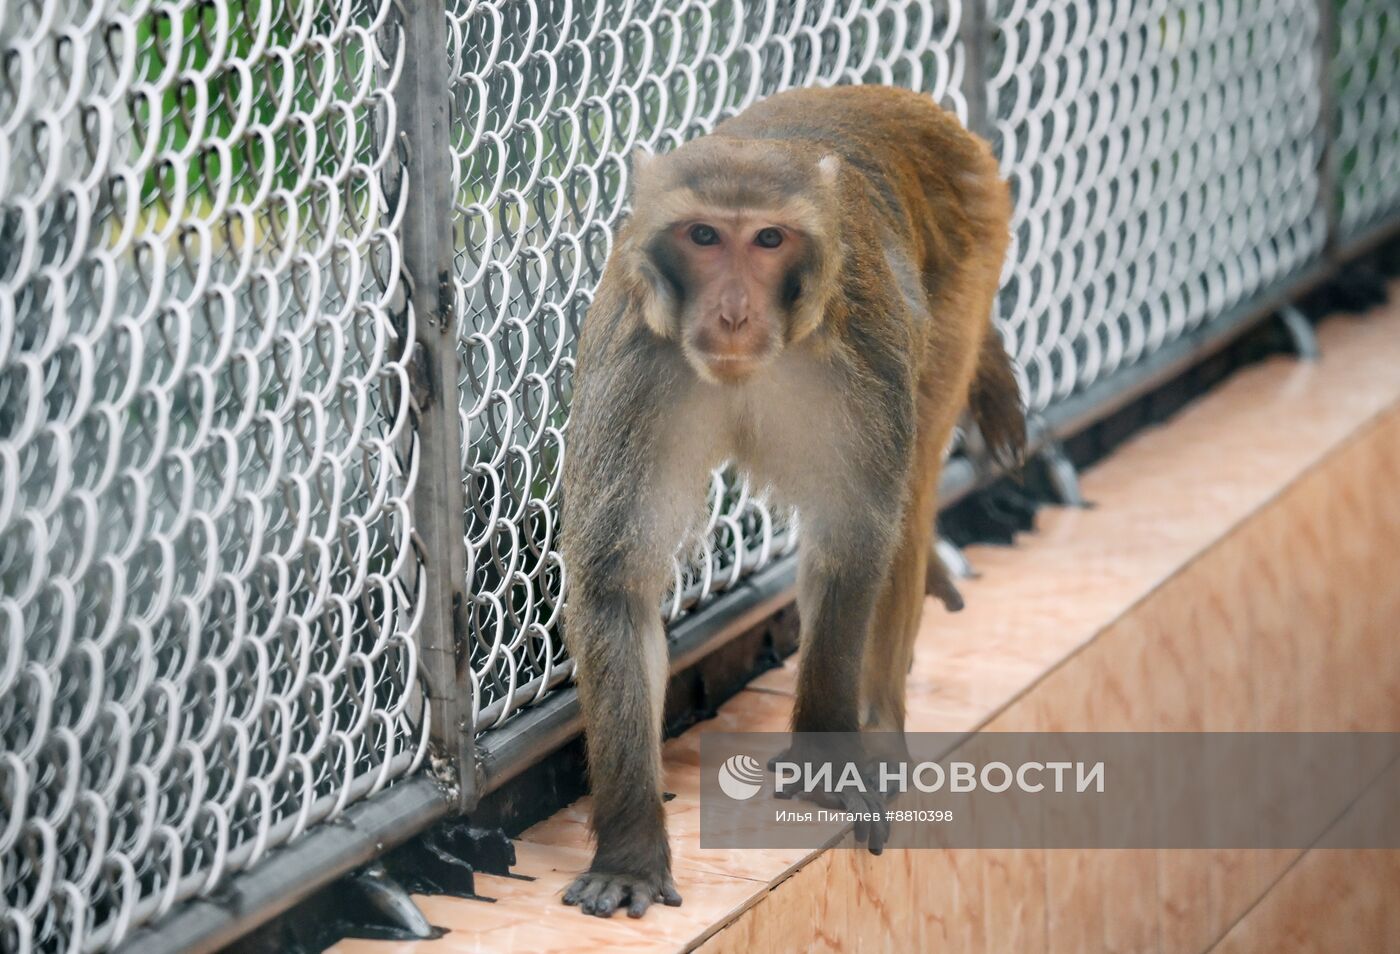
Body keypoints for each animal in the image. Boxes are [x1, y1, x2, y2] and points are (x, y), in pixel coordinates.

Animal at [562, 87, 1024, 913]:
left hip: (971, 250)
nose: (734, 312)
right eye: (704, 236)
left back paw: (880, 730)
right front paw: (631, 851)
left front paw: (826, 760)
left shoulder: (863, 349)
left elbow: (855, 542)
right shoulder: (634, 354)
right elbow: (618, 581)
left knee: (909, 496)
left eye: (769, 239)